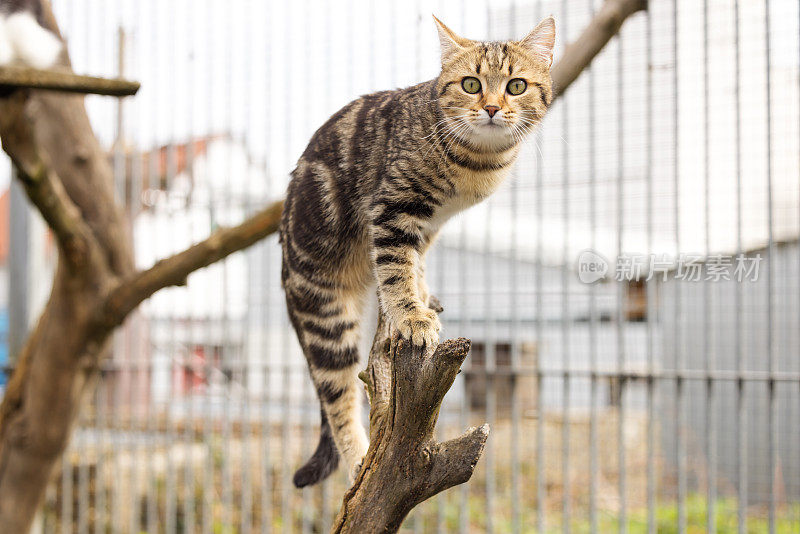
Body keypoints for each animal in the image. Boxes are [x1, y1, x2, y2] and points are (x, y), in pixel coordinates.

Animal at [278, 14, 552, 488]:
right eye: (471, 84)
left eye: (516, 85)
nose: (492, 108)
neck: (474, 163)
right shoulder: (392, 210)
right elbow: (396, 267)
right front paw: (412, 317)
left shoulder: (428, 225)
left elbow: (415, 263)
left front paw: (422, 297)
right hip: (326, 316)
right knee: (338, 398)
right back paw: (359, 463)